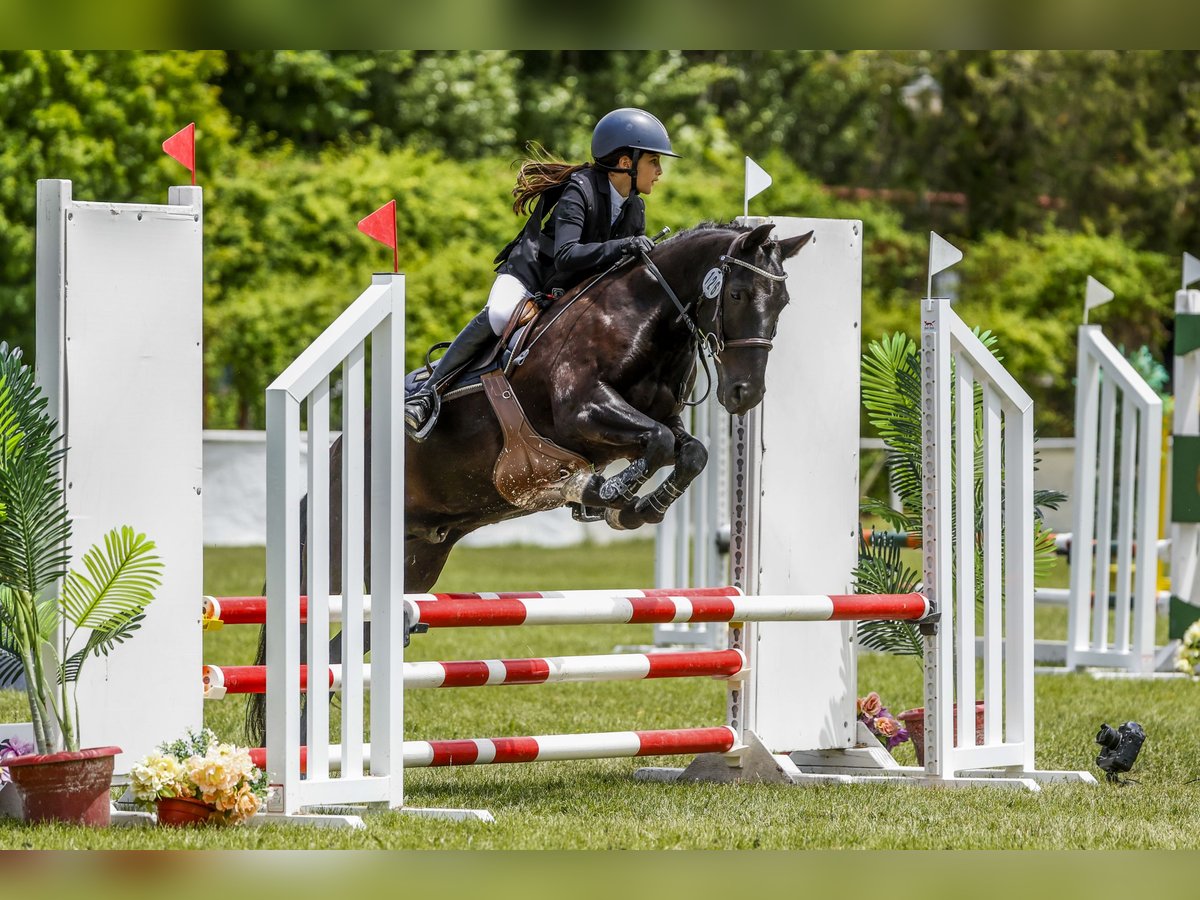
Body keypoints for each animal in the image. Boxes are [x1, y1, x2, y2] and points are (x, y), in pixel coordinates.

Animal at [246, 220, 806, 748]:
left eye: (781, 302)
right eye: (738, 294)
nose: (744, 394)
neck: (645, 313)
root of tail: (329, 462)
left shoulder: (654, 419)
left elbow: (687, 449)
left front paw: (633, 507)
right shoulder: (584, 411)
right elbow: (659, 442)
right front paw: (606, 496)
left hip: (416, 563)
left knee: (342, 650)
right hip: (342, 558)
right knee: (311, 645)